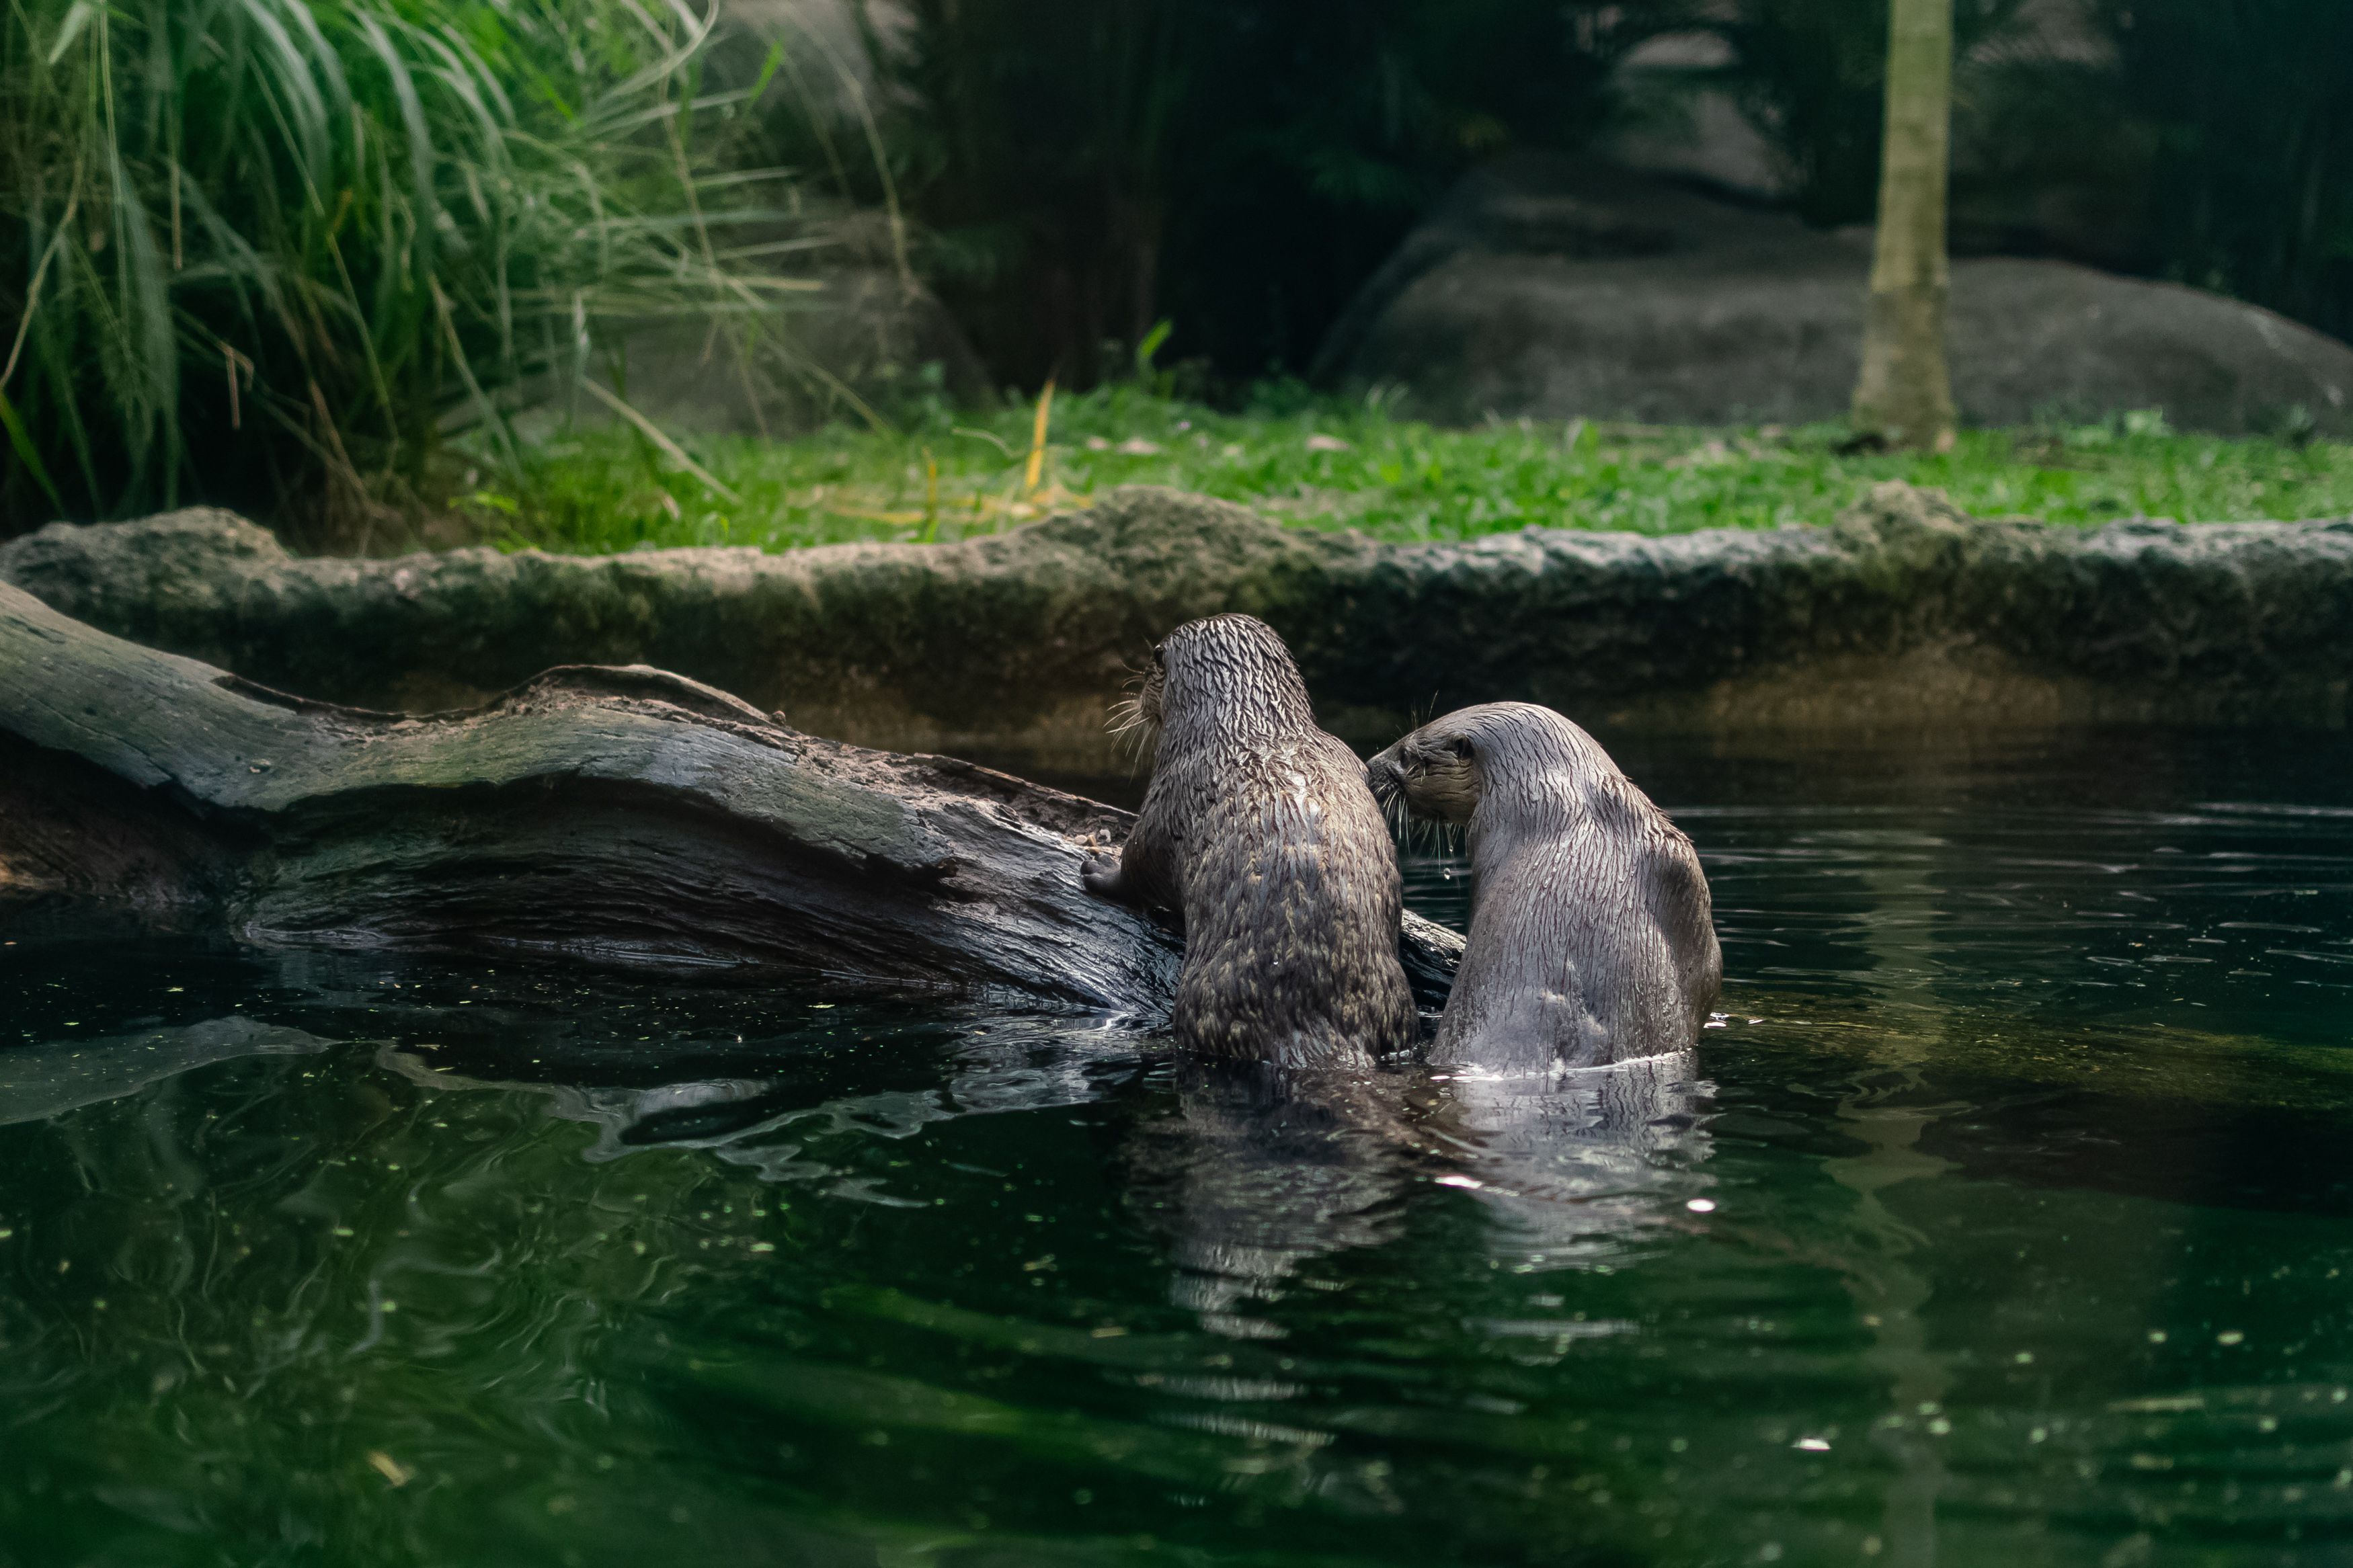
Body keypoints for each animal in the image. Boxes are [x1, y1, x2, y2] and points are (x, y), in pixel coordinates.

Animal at [1081, 614, 1418, 1067]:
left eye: (1151, 668)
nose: (1137, 702)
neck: (1252, 726)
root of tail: (1310, 1025)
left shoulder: (1168, 793)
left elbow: (1136, 865)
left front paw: (1099, 864)